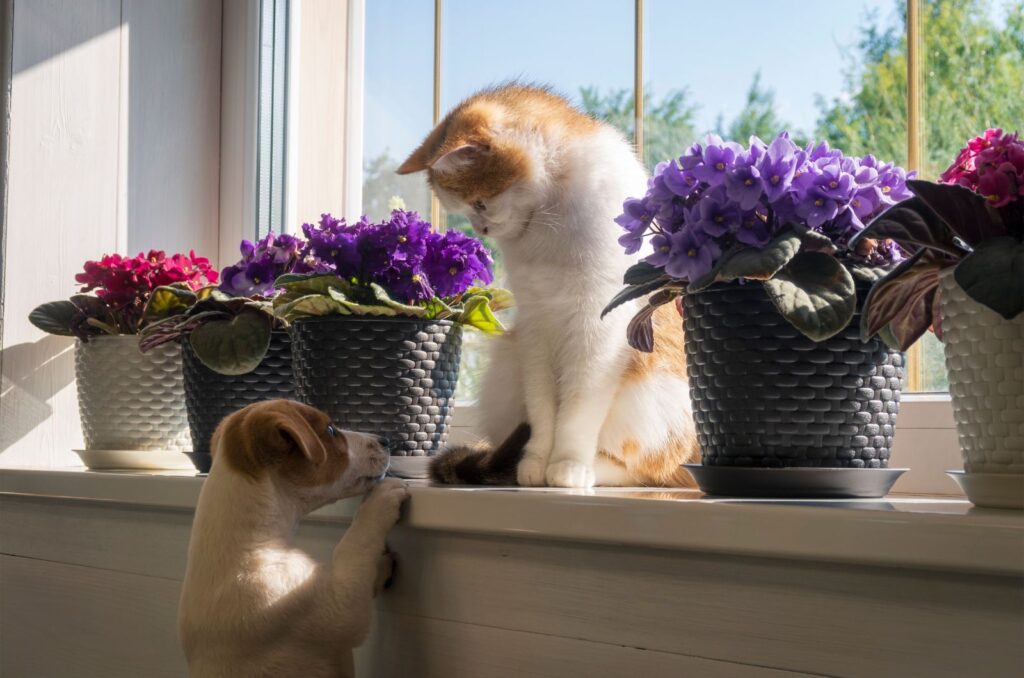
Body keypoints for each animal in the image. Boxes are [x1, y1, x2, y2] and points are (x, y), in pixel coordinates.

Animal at [180, 401, 407, 675]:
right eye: (330, 430)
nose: (386, 440)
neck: (251, 543)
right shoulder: (339, 608)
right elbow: (353, 545)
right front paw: (382, 498)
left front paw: (383, 566)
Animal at [395, 85, 700, 489]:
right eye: (465, 209)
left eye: (480, 203)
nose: (481, 229)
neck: (546, 221)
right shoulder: (536, 325)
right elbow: (542, 409)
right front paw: (536, 462)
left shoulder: (596, 326)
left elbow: (578, 409)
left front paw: (567, 464)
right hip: (508, 364)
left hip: (657, 403)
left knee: (652, 469)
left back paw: (594, 469)